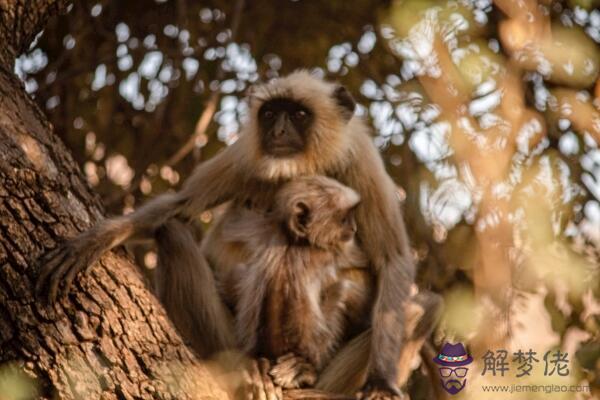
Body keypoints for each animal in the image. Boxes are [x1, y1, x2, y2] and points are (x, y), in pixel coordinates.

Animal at [223, 177, 372, 390]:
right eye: (344, 219)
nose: (354, 229)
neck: (292, 241)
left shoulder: (264, 230)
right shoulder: (331, 251)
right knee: (343, 290)